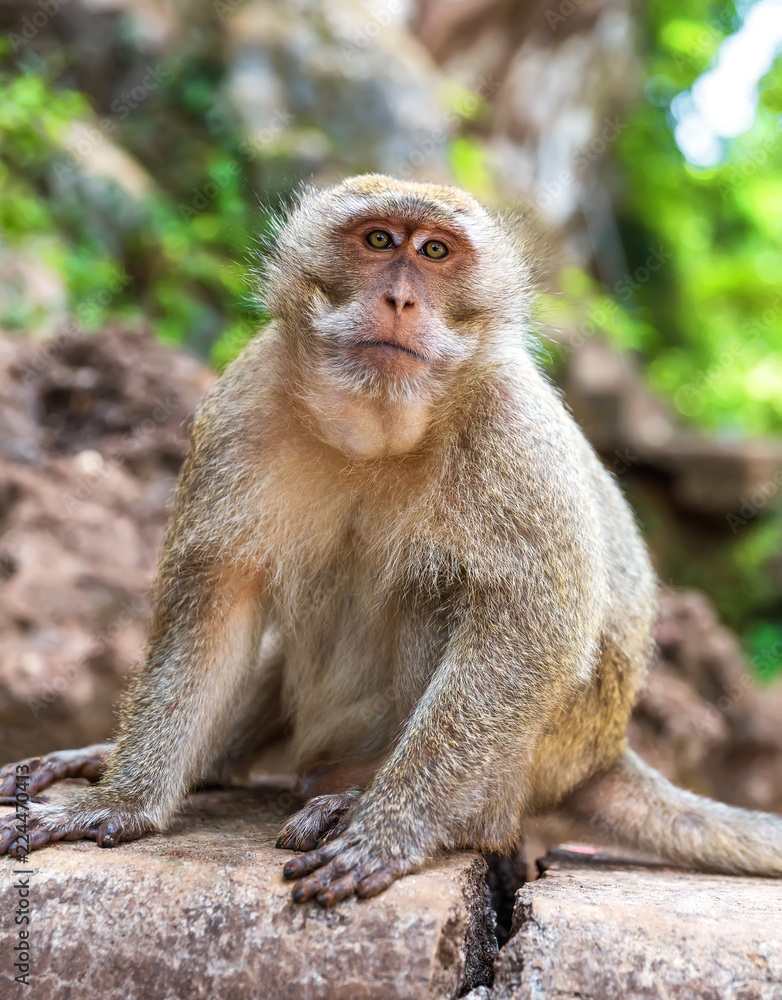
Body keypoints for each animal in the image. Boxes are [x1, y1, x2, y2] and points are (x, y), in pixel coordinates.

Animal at [1, 172, 782, 908]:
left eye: (435, 252)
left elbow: (530, 629)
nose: (401, 300)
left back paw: (397, 806)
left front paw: (391, 828)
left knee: (436, 594)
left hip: (539, 755)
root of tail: (605, 751)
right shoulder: (242, 404)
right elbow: (217, 598)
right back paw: (190, 764)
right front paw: (122, 798)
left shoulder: (513, 432)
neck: (376, 429)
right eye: (378, 241)